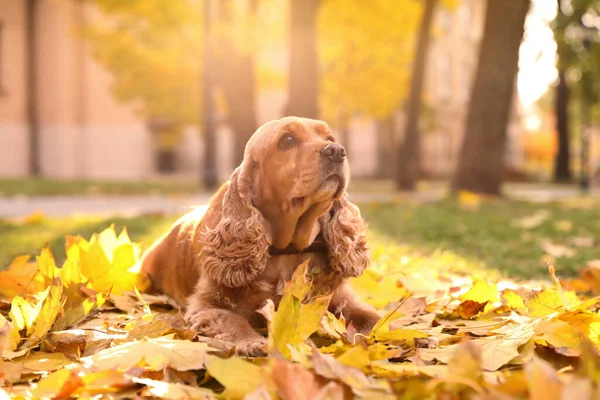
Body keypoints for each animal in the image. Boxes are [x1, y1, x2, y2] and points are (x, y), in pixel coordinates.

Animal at [141, 116, 380, 356]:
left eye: (329, 138)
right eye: (287, 140)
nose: (337, 150)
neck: (288, 250)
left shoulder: (341, 298)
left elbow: (376, 318)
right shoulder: (206, 304)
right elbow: (232, 320)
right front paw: (252, 342)